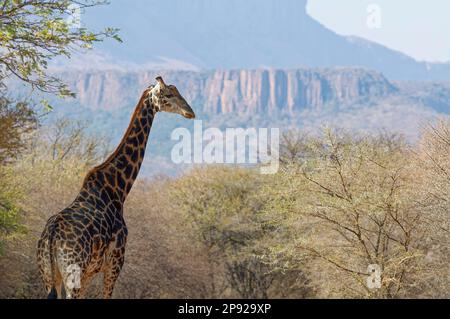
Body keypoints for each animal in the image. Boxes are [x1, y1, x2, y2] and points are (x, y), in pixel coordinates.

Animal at [37, 76, 195, 298]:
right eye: (169, 94)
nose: (190, 112)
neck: (118, 189)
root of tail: (51, 235)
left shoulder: (90, 272)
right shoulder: (115, 262)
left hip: (48, 274)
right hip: (72, 272)